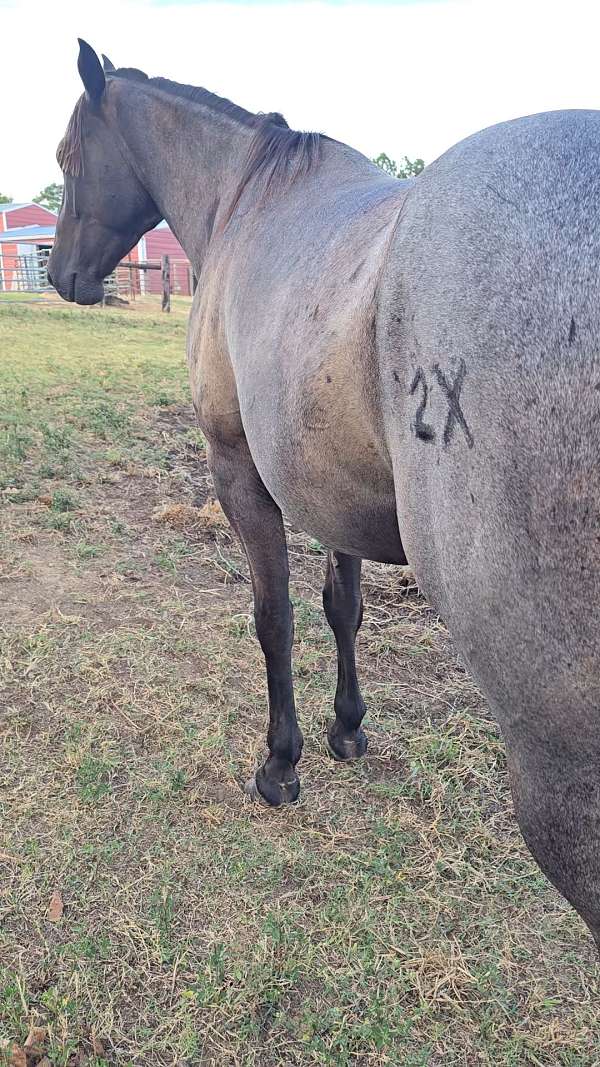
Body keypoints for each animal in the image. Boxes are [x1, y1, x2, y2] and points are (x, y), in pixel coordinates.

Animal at [47, 37, 600, 947]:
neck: (245, 200)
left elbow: (273, 618)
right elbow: (344, 609)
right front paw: (348, 725)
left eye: (67, 157)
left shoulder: (240, 471)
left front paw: (281, 761)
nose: (63, 276)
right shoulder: (329, 486)